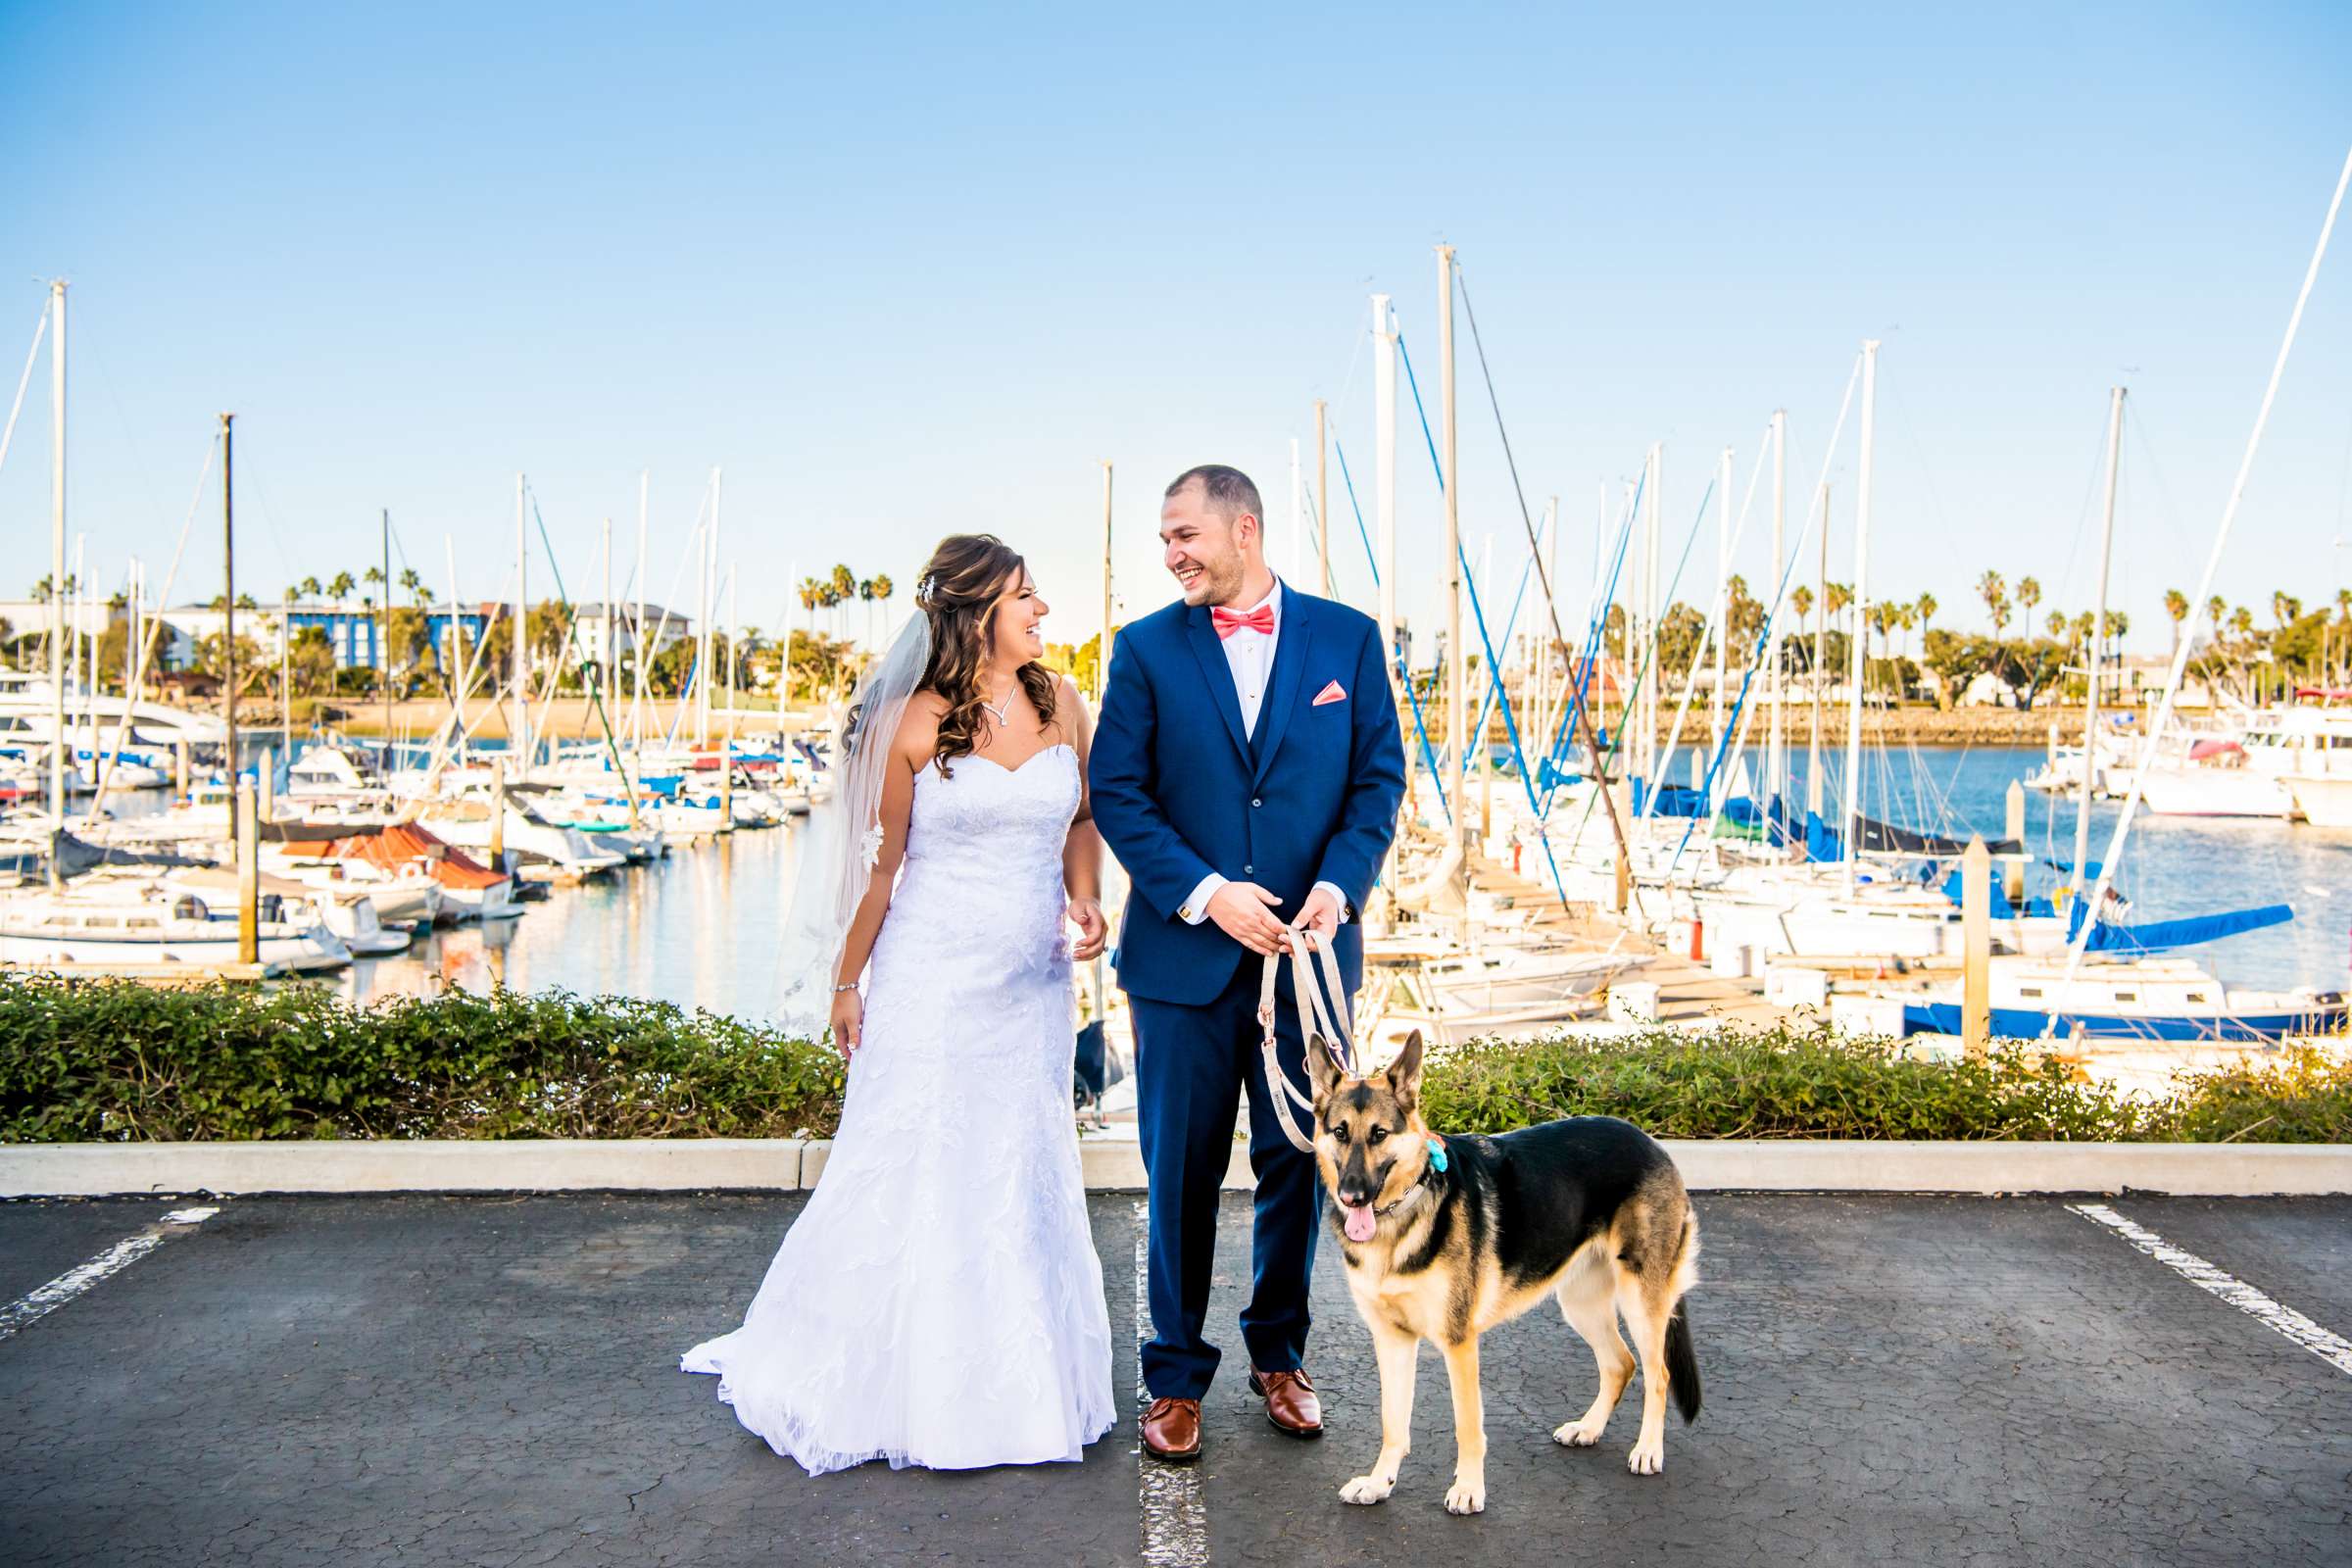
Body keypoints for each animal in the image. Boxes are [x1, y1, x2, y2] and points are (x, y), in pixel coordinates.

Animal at [1307, 1034, 1712, 1513]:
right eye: (1340, 1132)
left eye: (1379, 1135)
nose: (1352, 1196)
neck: (1404, 1212)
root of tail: (1649, 1141)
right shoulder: (1392, 1341)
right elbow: (1393, 1423)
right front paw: (1378, 1483)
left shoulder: (1459, 1344)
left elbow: (1467, 1426)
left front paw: (1468, 1489)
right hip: (1580, 1305)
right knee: (1621, 1364)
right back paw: (1589, 1428)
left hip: (1640, 1303)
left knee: (1658, 1374)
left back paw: (1648, 1449)